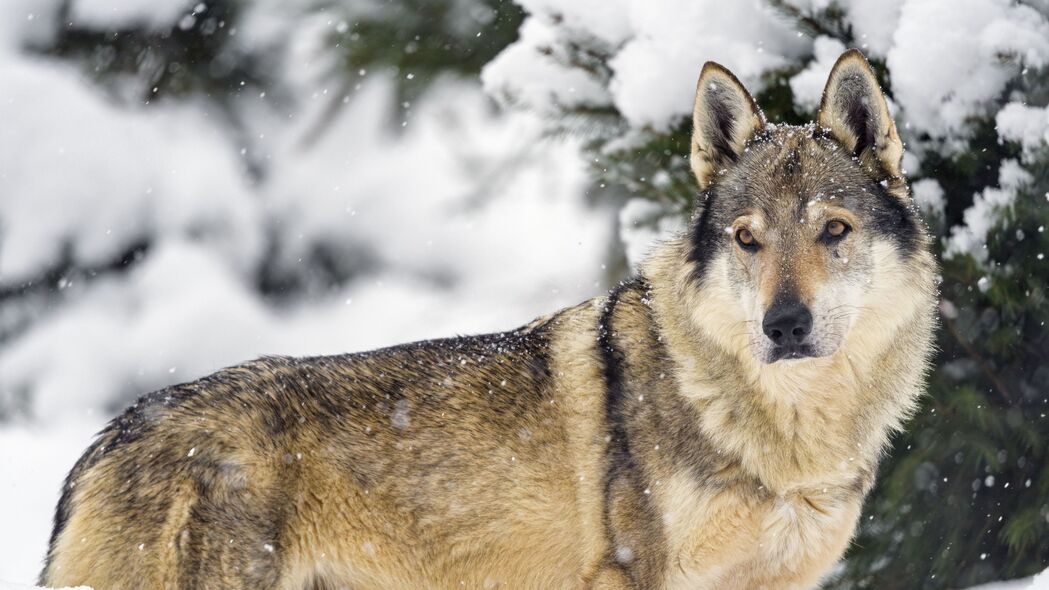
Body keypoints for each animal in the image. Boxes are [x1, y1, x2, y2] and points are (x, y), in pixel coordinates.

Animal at [43, 50, 944, 587]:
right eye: (746, 240)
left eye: (833, 231)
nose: (782, 326)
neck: (785, 434)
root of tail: (107, 439)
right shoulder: (632, 574)